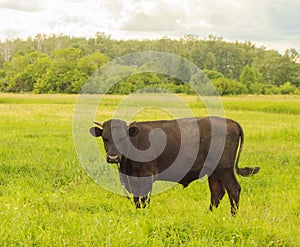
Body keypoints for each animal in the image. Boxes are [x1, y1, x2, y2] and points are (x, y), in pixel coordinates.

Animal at [88, 116, 258, 214]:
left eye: (122, 138)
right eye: (105, 138)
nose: (113, 157)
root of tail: (229, 121)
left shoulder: (146, 177)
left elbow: (144, 200)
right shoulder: (133, 180)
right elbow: (137, 201)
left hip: (225, 169)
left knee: (233, 190)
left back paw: (232, 216)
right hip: (214, 172)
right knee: (217, 193)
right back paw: (209, 215)